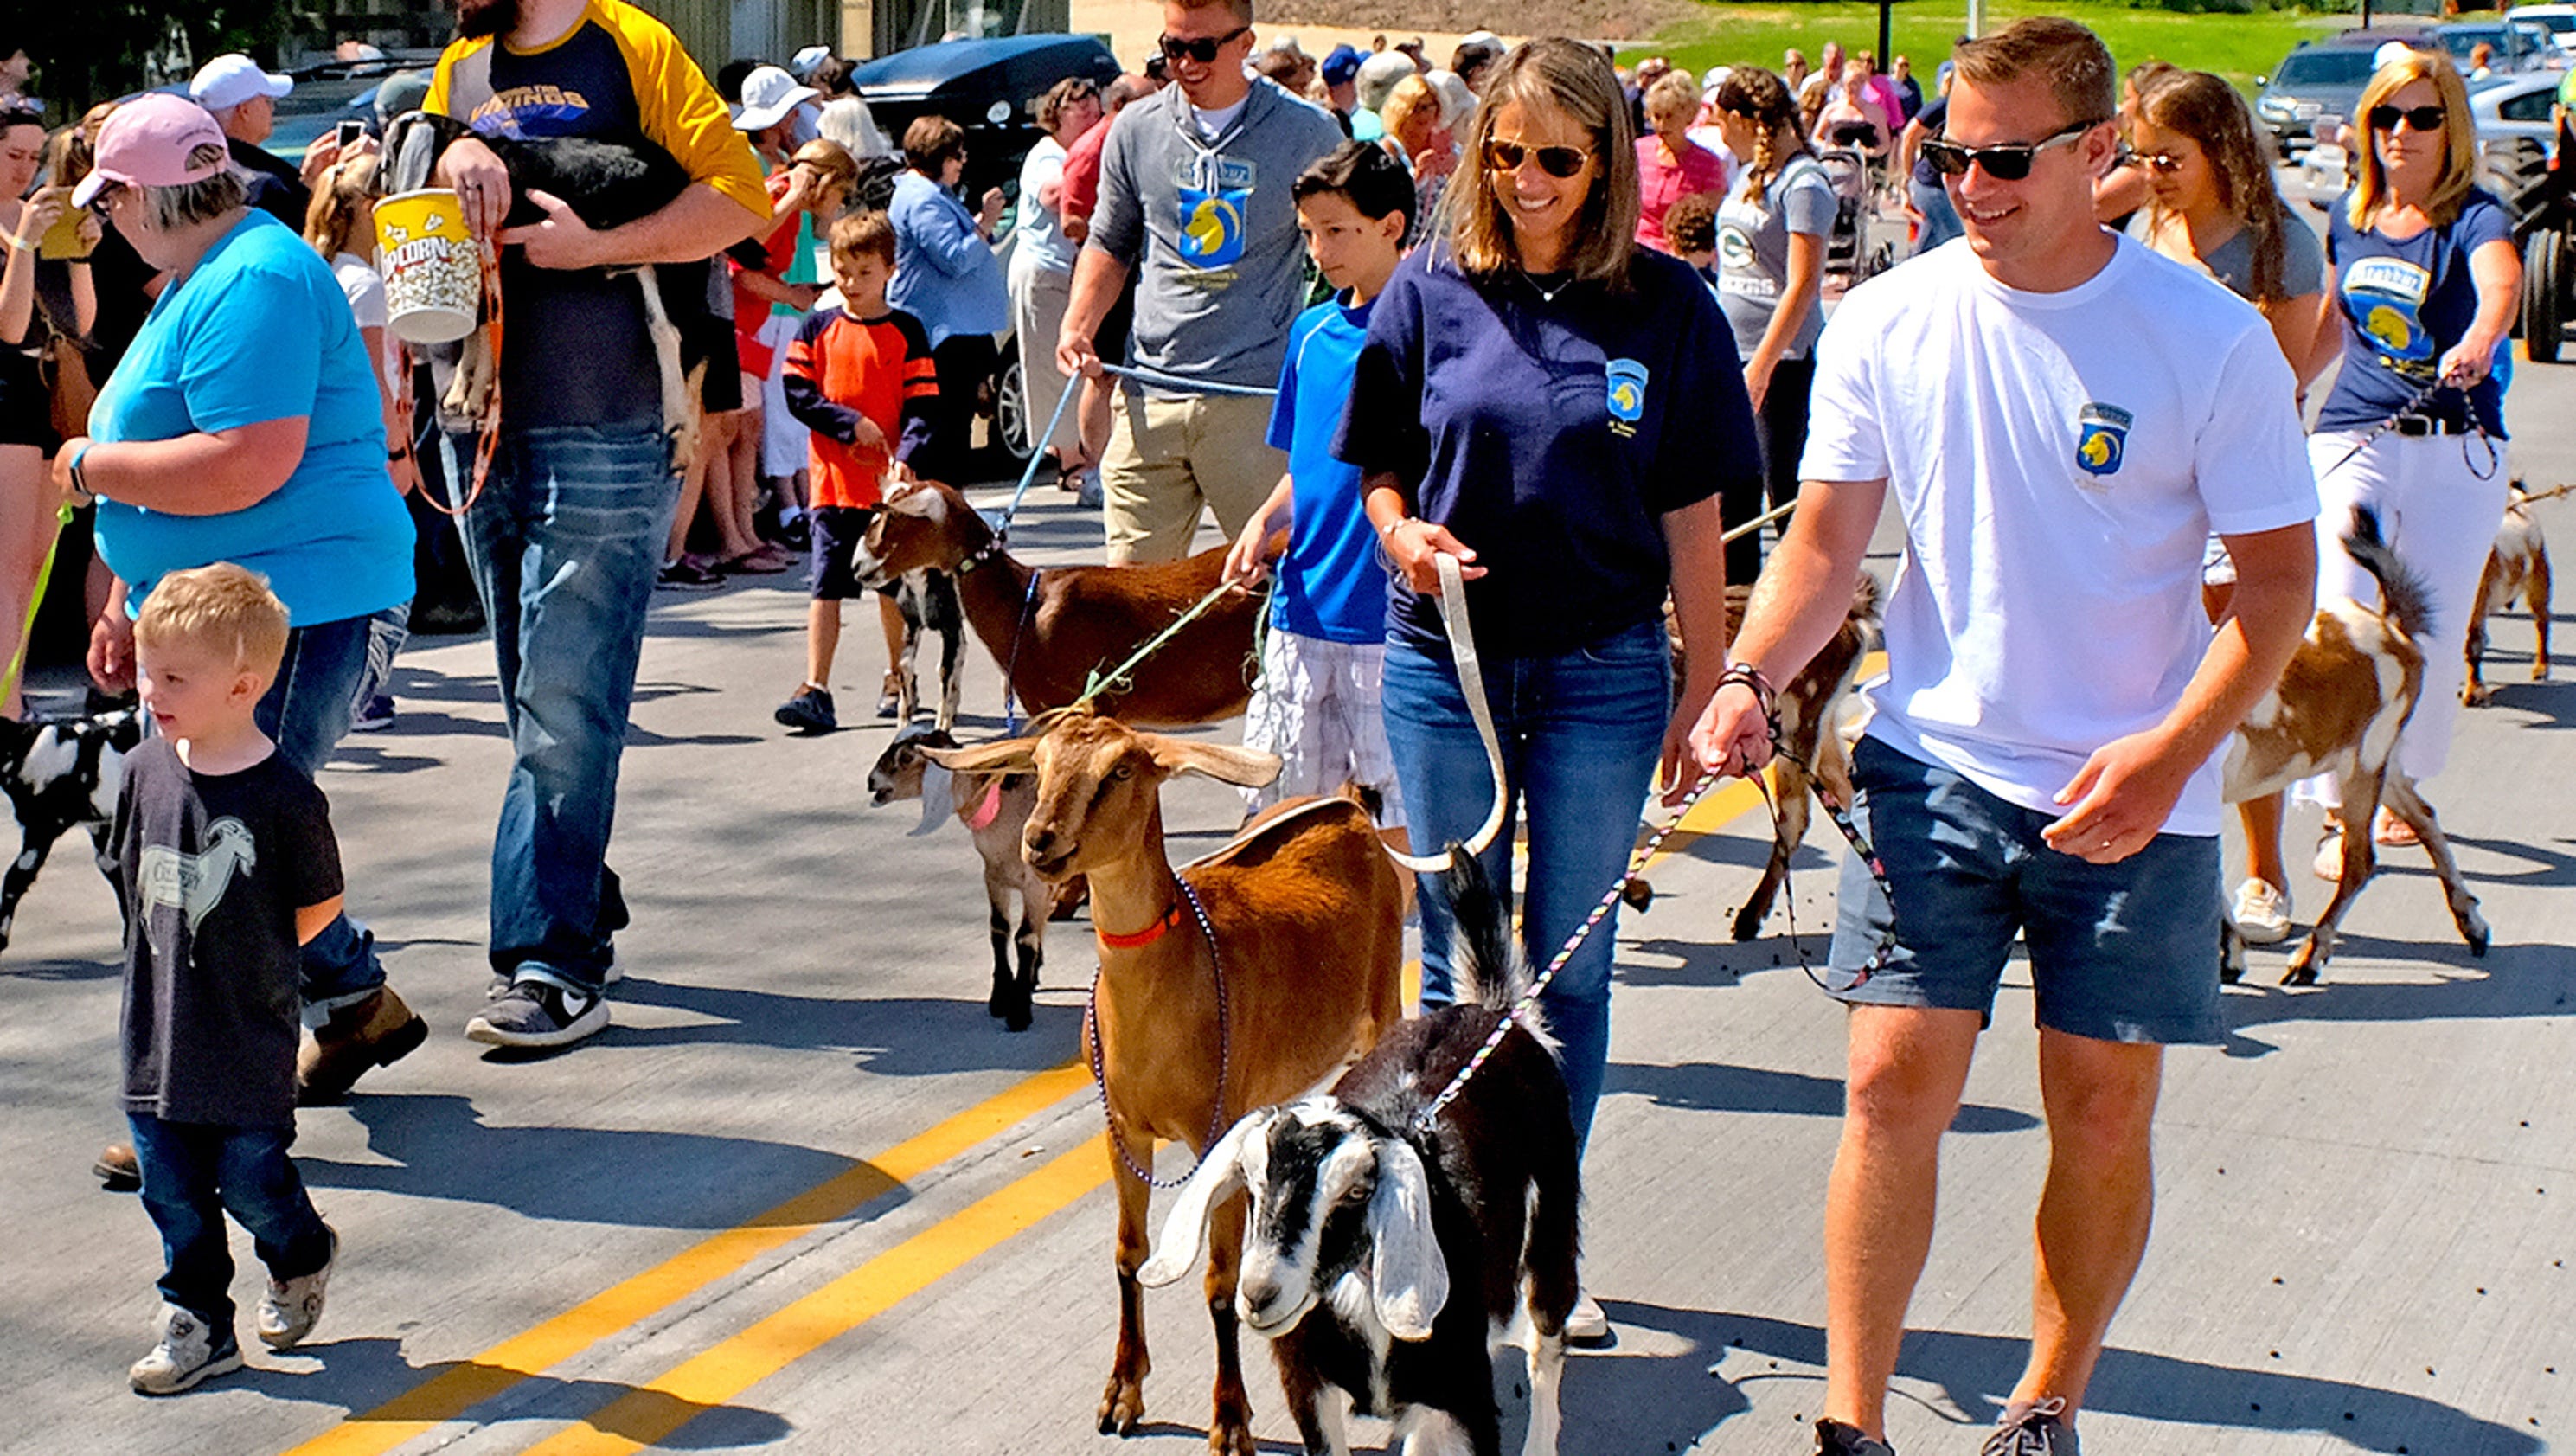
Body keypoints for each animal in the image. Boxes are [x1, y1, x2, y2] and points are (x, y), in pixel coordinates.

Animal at [927, 711, 1401, 1453]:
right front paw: (1122, 1393)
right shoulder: (1123, 1128)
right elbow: (1128, 1254)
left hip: (1383, 1009)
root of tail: (1350, 806)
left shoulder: (1220, 1136)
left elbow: (1220, 1281)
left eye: (1120, 770)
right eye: (1040, 761)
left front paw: (1230, 1420)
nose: (1040, 840)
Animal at [1144, 850, 1576, 1453]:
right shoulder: (1309, 1385)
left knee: (1546, 1344)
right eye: (1252, 1184)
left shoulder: (1461, 1394)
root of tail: (1494, 1011)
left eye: (1355, 1191)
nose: (1259, 1294)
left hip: (1554, 1219)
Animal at [2225, 504, 2483, 984]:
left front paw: (2231, 956)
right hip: (2380, 757)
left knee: (2361, 858)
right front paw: (2229, 955)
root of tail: (2393, 630)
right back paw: (2472, 923)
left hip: (2364, 761)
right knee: (2424, 815)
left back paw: (2310, 957)